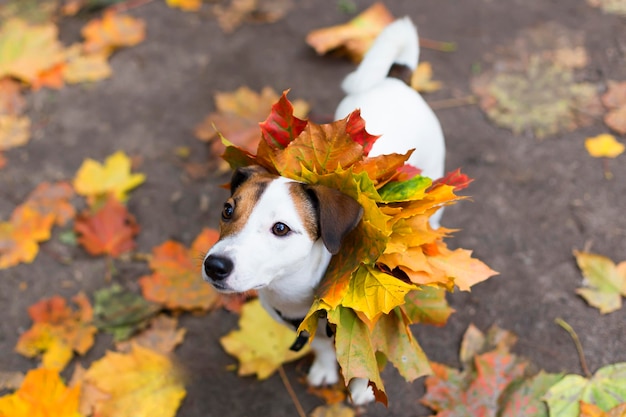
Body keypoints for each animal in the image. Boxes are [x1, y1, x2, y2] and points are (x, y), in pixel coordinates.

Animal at [202, 17, 442, 404]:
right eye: (227, 210)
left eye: (281, 228)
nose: (215, 265)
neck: (296, 295)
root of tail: (396, 79)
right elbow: (323, 347)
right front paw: (326, 368)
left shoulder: (375, 316)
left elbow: (371, 354)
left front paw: (362, 388)